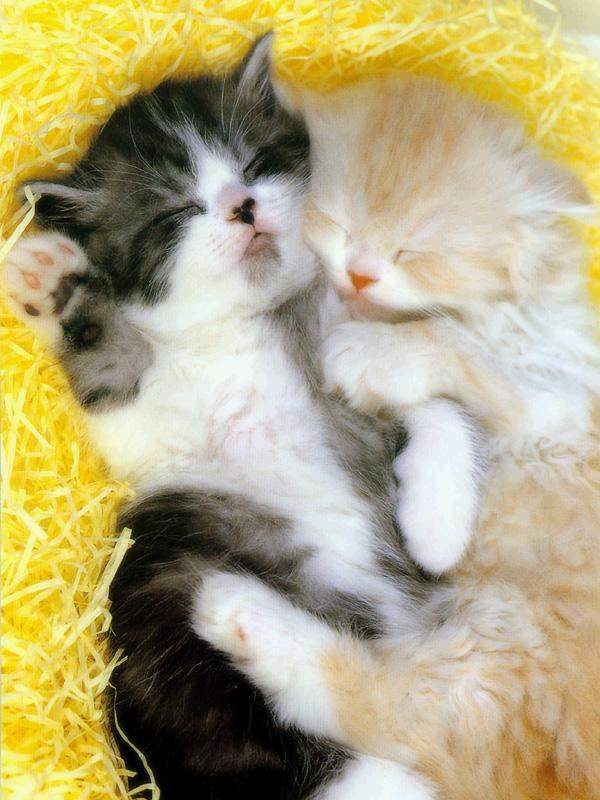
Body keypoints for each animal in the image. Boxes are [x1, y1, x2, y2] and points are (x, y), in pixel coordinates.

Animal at [0, 40, 468, 800]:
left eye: (255, 164)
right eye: (177, 211)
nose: (242, 207)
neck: (251, 321)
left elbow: (438, 403)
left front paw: (437, 522)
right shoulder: (152, 430)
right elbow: (112, 364)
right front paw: (56, 280)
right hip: (173, 593)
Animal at [191, 74, 600, 800]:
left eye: (419, 250)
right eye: (337, 220)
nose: (359, 273)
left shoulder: (561, 395)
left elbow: (458, 349)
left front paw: (371, 355)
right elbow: (445, 390)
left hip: (510, 649)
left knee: (391, 710)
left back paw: (238, 611)